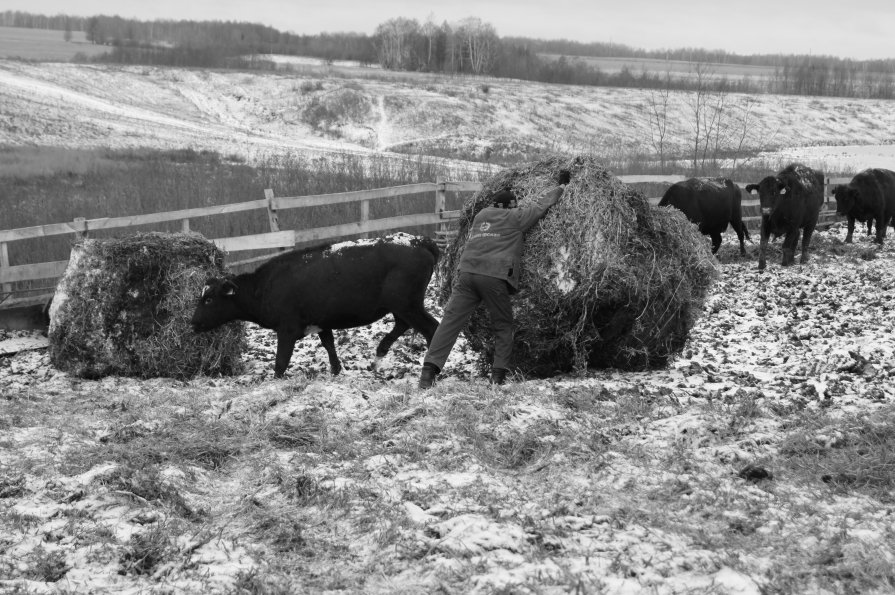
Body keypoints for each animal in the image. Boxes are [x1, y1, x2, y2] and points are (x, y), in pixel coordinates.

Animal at [191, 233, 440, 378]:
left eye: (209, 299)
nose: (193, 323)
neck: (263, 288)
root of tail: (420, 241)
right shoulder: (322, 322)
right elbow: (330, 348)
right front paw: (337, 371)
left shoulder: (287, 329)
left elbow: (280, 363)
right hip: (401, 306)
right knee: (403, 325)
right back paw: (378, 356)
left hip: (408, 304)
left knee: (431, 329)